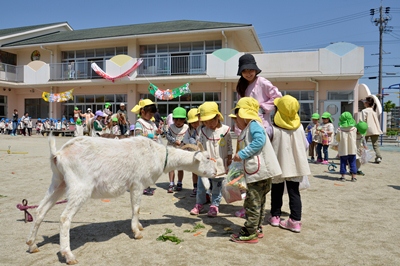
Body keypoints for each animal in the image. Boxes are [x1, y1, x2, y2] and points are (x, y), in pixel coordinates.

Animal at [25, 136, 216, 264]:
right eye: (207, 158)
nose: (215, 173)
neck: (158, 154)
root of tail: (58, 154)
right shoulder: (137, 183)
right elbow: (136, 208)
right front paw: (137, 232)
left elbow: (136, 209)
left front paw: (139, 226)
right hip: (80, 186)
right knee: (64, 218)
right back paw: (68, 255)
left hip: (59, 182)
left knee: (40, 210)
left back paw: (32, 245)